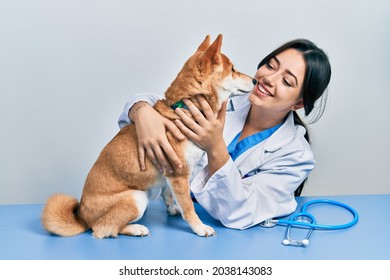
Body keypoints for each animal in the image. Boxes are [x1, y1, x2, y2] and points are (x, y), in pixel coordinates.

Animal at [41, 33, 254, 238]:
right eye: (233, 69)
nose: (255, 80)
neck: (182, 109)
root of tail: (83, 216)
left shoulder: (171, 172)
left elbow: (168, 193)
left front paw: (172, 208)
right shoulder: (179, 174)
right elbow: (189, 207)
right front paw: (199, 227)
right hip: (136, 198)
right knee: (103, 229)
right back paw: (136, 229)